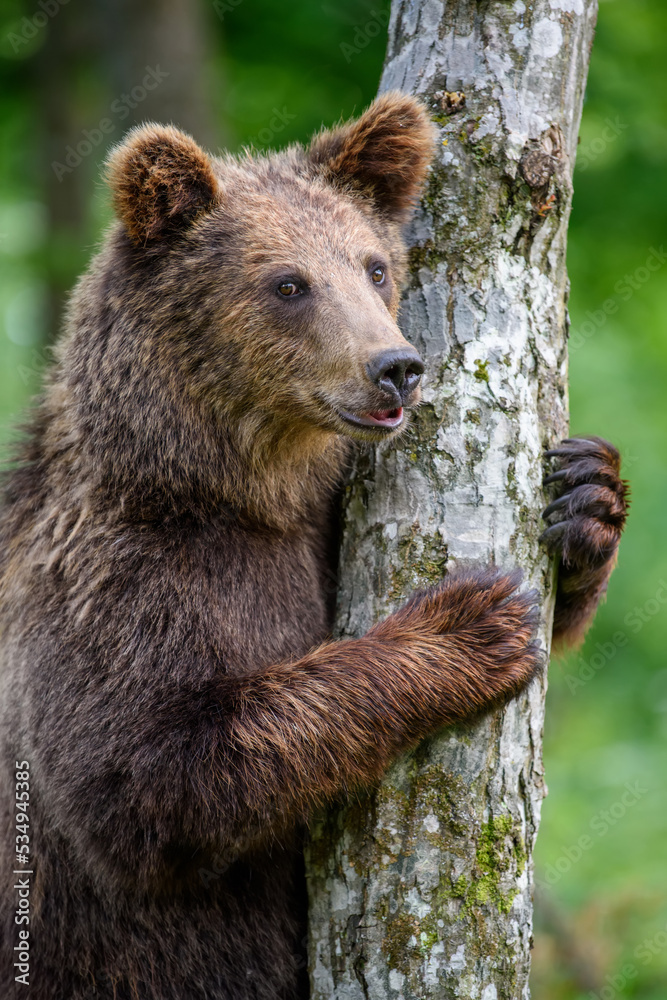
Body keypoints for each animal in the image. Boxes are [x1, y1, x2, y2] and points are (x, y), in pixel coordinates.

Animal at [0, 93, 627, 1000]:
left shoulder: (320, 527)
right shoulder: (113, 577)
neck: (237, 487)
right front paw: (469, 621)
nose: (396, 365)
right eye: (288, 283)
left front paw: (585, 493)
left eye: (372, 266)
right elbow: (146, 773)